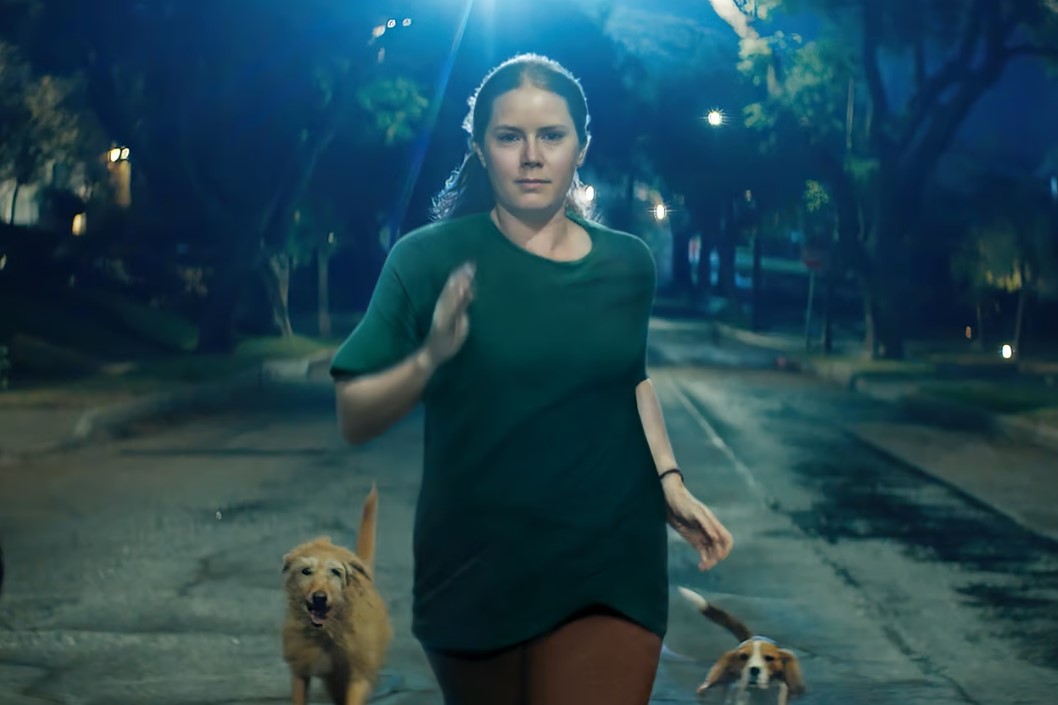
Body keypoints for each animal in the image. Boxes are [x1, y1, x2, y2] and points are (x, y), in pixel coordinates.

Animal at [281, 482, 393, 702]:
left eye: (335, 571)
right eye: (306, 571)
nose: (319, 597)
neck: (328, 633)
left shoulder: (359, 674)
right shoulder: (301, 668)